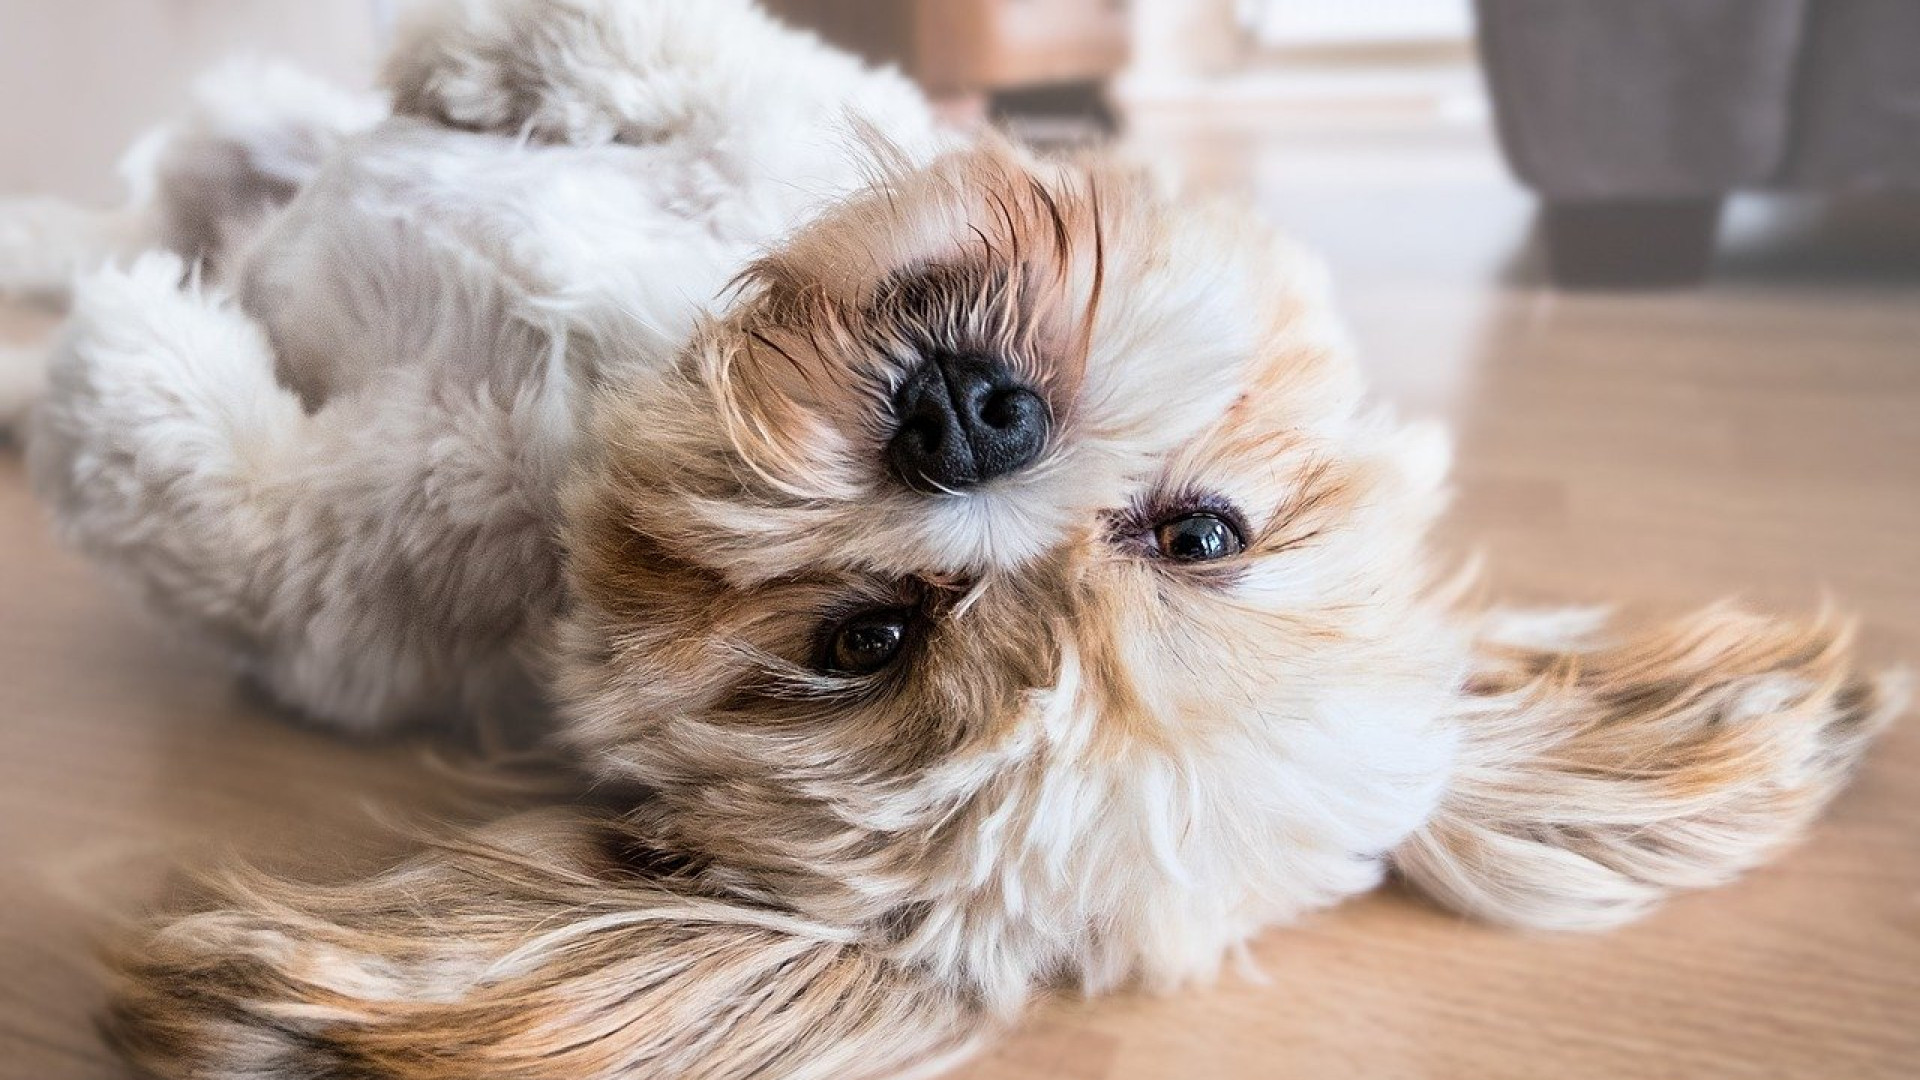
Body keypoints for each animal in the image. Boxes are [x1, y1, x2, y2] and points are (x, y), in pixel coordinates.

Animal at [0, 2, 1896, 1076]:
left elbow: (214, 494)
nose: (971, 421)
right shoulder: (782, 122)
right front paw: (496, 53)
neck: (622, 378)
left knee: (138, 238)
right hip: (242, 127)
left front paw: (124, 359)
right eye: (1202, 533)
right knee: (174, 165)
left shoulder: (353, 595)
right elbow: (685, 63)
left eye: (865, 640)